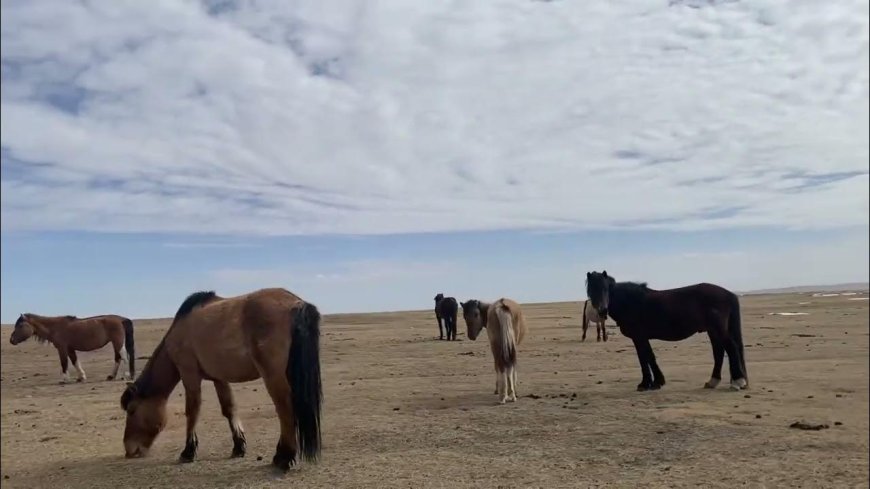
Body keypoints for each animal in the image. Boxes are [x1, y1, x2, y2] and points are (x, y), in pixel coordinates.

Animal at [119, 288, 324, 470]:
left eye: (132, 410)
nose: (129, 450)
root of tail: (297, 304)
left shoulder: (189, 374)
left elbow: (192, 411)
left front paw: (188, 451)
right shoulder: (219, 378)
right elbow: (229, 409)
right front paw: (239, 446)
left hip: (274, 376)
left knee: (285, 410)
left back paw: (285, 457)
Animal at [584, 268, 748, 390]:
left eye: (606, 289)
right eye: (590, 290)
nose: (602, 311)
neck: (631, 302)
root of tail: (729, 294)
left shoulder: (638, 337)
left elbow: (643, 358)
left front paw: (645, 384)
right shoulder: (642, 338)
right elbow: (649, 357)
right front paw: (657, 382)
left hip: (717, 329)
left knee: (731, 348)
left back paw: (738, 381)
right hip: (712, 331)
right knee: (719, 352)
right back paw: (713, 381)